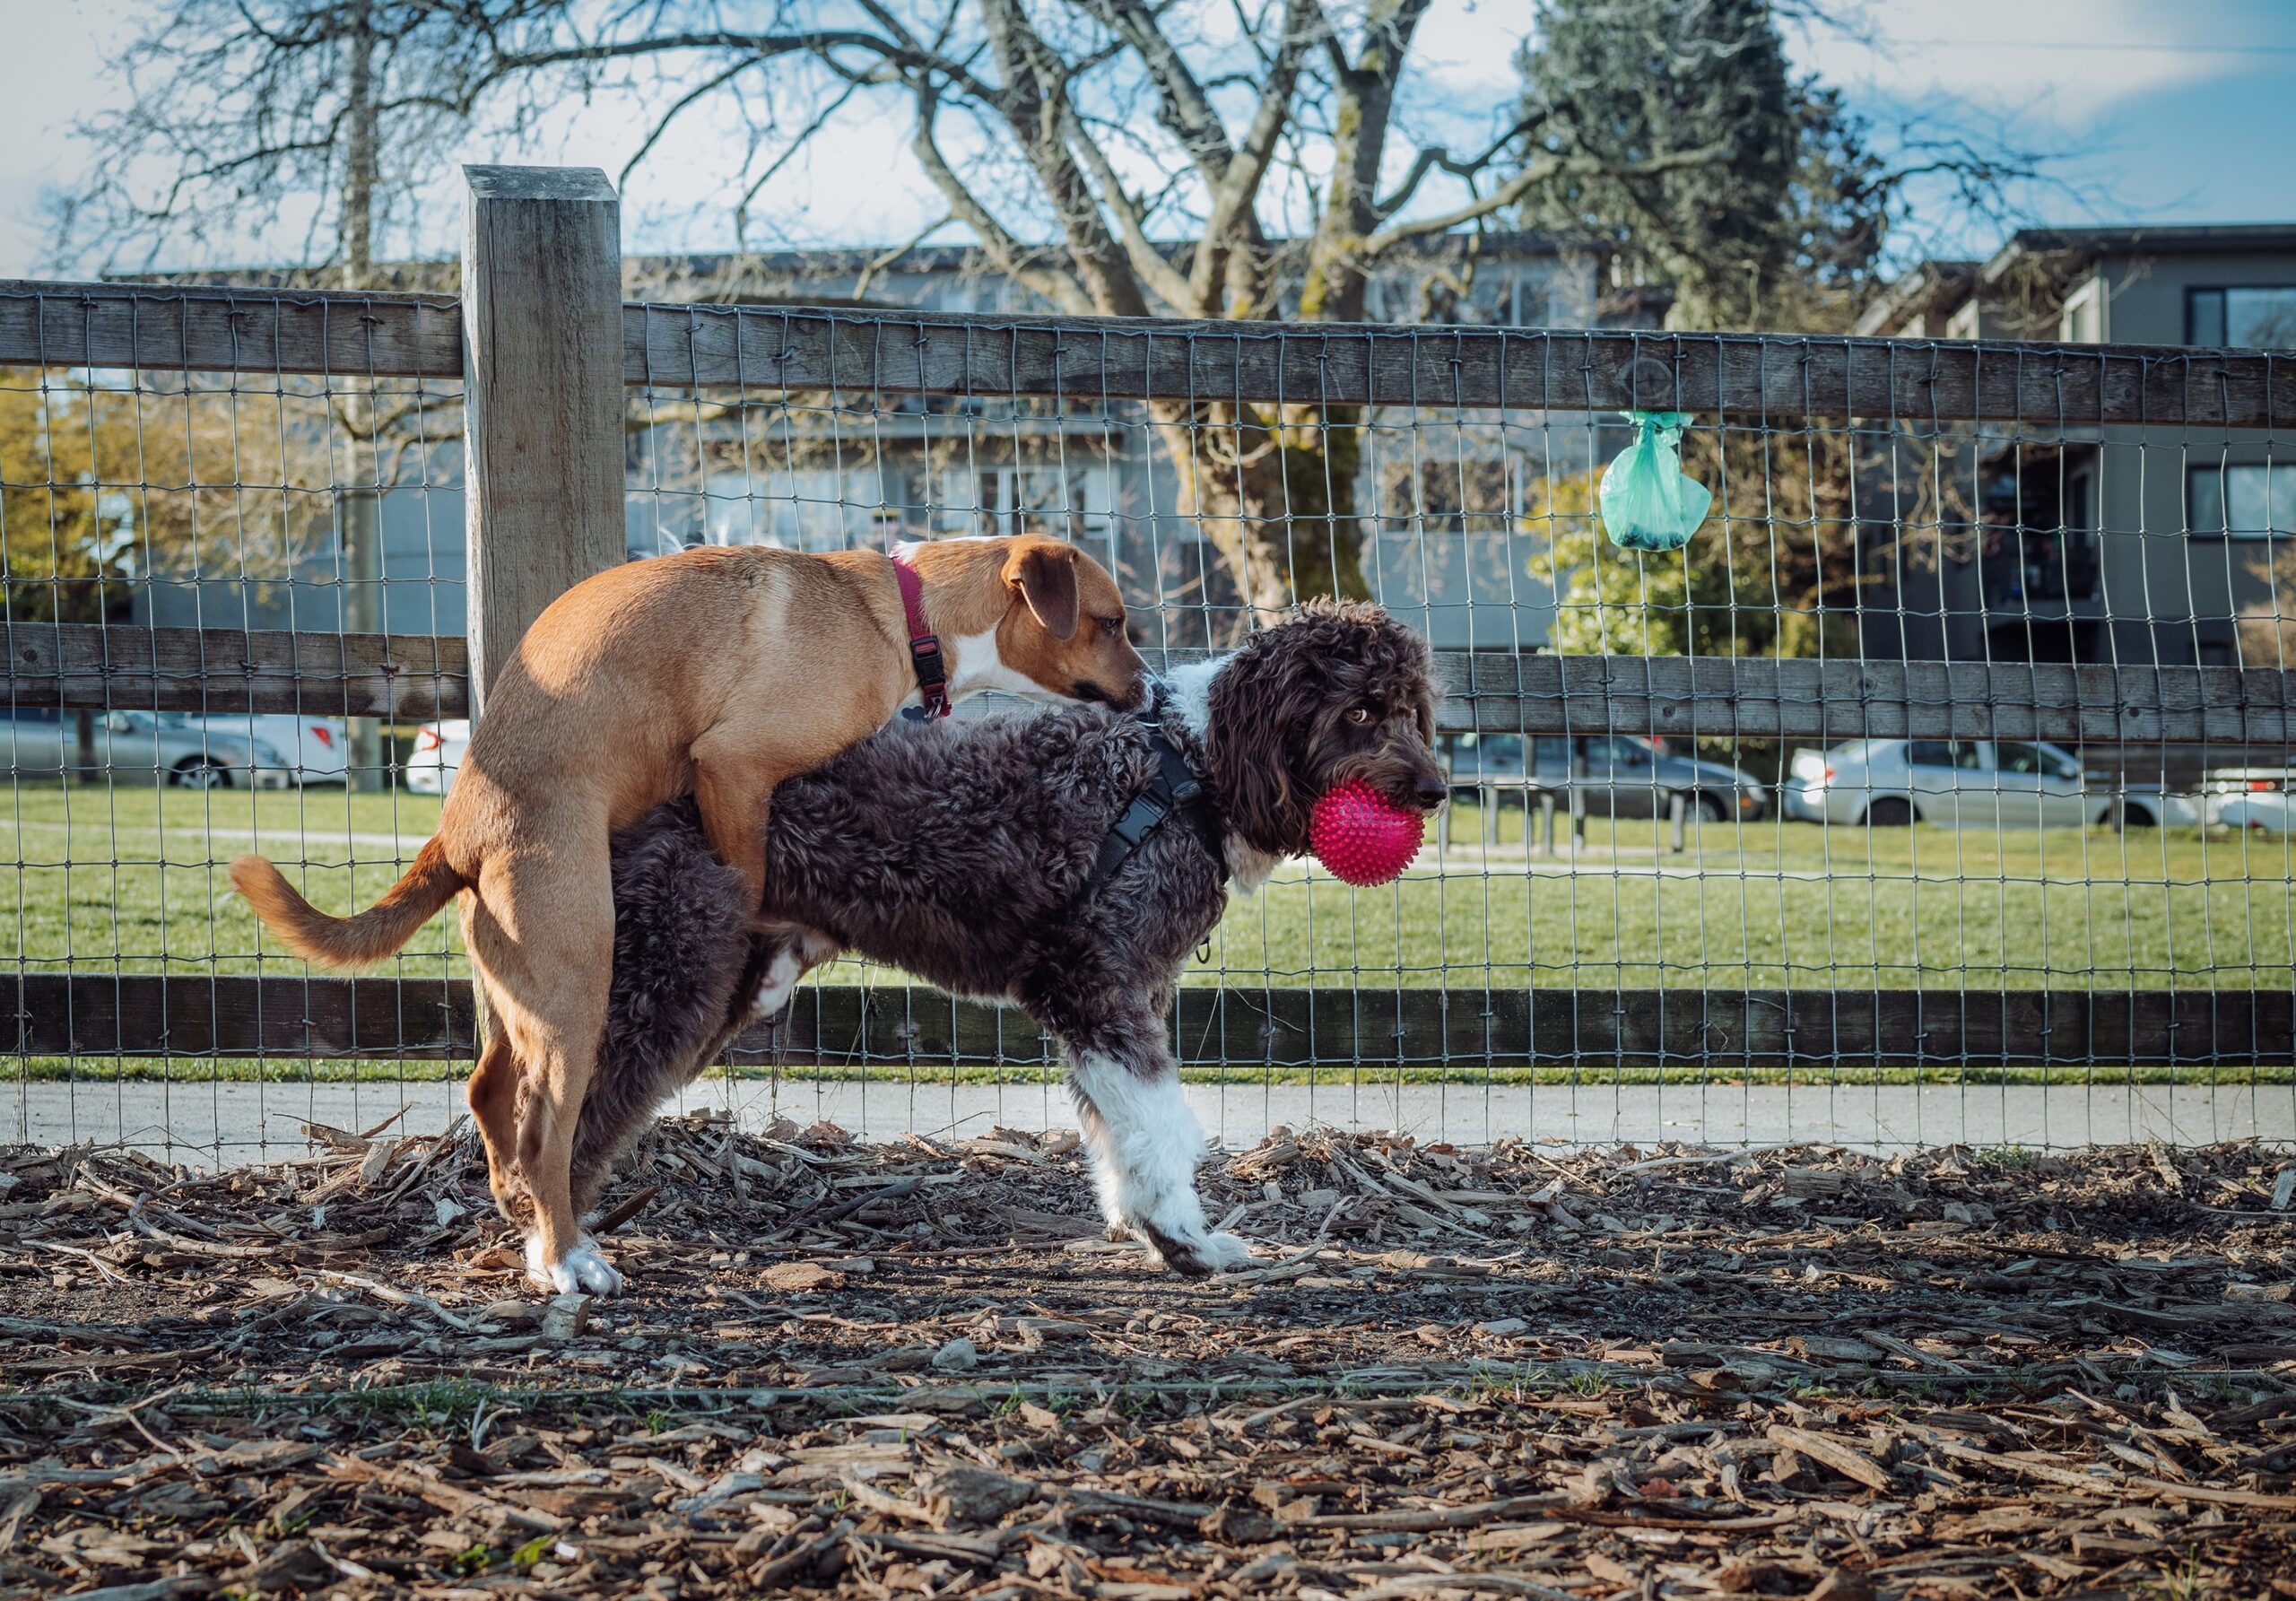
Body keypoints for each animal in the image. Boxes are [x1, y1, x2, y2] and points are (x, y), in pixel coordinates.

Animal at [232, 533, 1148, 1286]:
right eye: (1110, 622)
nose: (1148, 692)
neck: (902, 614)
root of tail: (459, 831)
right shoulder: (733, 767)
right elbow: (751, 884)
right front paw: (762, 953)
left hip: (521, 990)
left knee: (489, 1090)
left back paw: (515, 1205)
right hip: (577, 990)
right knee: (547, 1131)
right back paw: (565, 1257)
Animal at [569, 596, 1432, 1286]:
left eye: (1411, 708)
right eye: (1359, 711)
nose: (1434, 791)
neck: (1190, 769)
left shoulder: (1120, 994)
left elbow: (1113, 1127)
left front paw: (1140, 1225)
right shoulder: (1094, 981)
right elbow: (1159, 1125)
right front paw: (1183, 1240)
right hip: (667, 967)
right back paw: (563, 1255)